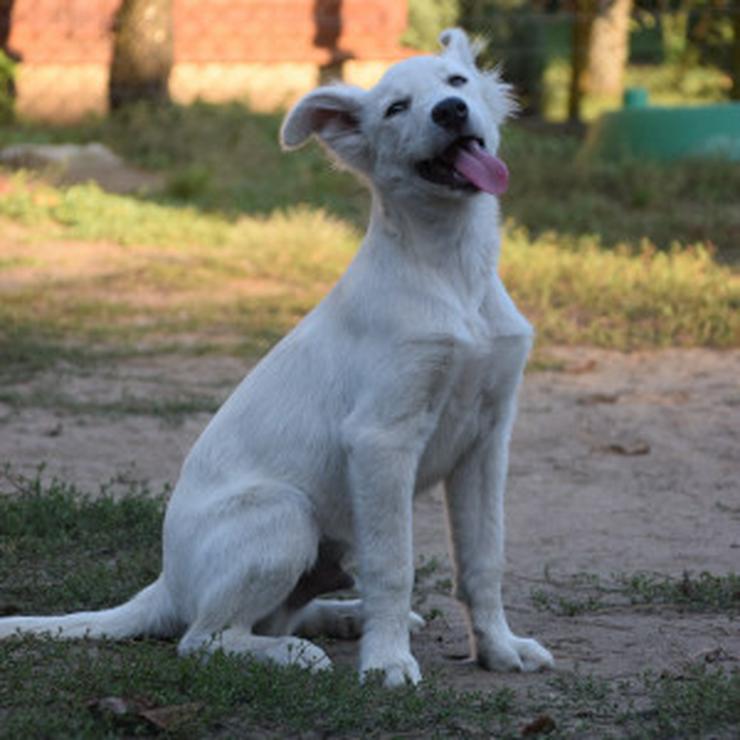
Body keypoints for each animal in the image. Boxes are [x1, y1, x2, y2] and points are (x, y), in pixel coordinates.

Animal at [0, 28, 552, 688]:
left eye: (457, 83)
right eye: (396, 108)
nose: (450, 113)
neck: (451, 271)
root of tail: (166, 584)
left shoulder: (486, 438)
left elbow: (483, 560)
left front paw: (499, 647)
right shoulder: (382, 438)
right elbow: (395, 565)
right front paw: (388, 662)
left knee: (274, 614)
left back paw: (341, 616)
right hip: (284, 512)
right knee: (203, 638)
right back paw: (299, 651)